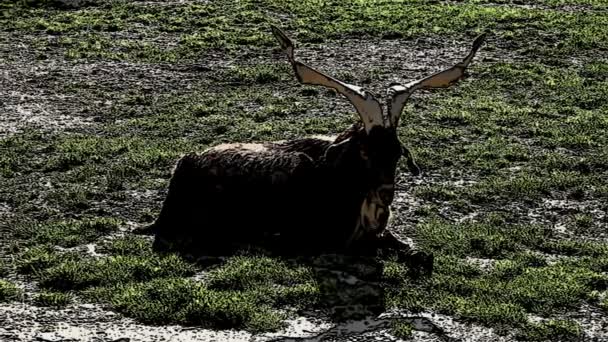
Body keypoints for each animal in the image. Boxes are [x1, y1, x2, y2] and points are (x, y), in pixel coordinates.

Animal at [140, 24, 486, 272]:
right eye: (365, 152)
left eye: (398, 153)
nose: (386, 193)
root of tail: (186, 163)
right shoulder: (328, 240)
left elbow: (420, 254)